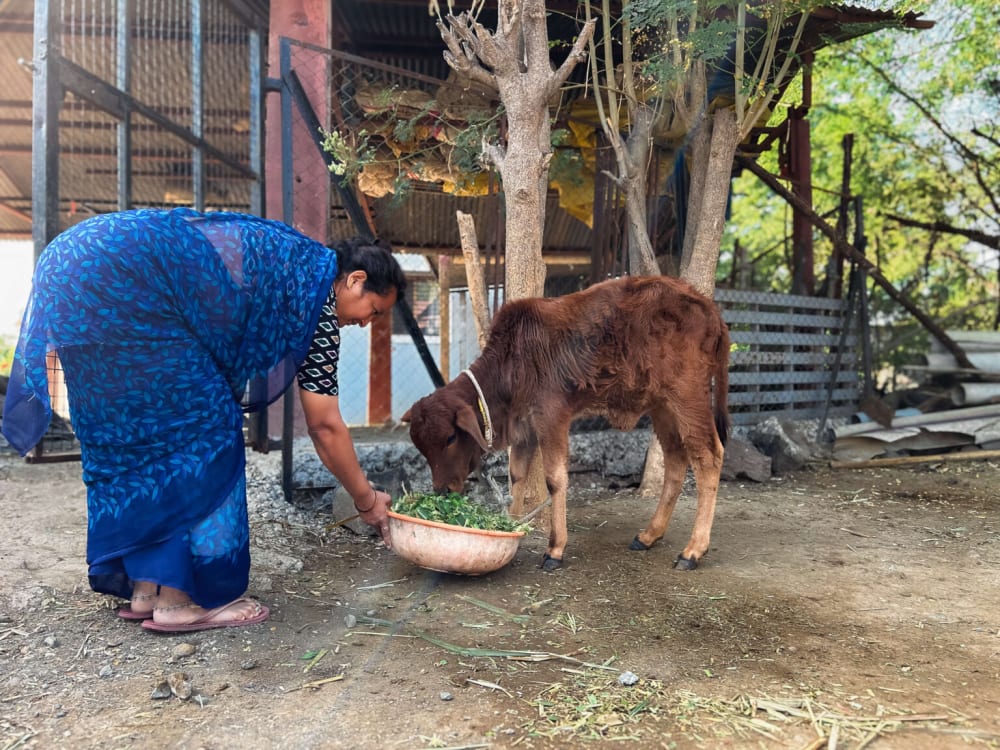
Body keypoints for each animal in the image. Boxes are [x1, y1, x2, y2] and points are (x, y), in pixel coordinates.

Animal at [402, 275, 729, 572]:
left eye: (450, 438)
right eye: (422, 447)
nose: (442, 489)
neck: (513, 360)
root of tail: (709, 308)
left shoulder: (551, 418)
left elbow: (555, 479)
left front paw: (555, 549)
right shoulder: (525, 428)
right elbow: (517, 476)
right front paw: (510, 525)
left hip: (687, 397)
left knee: (709, 457)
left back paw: (693, 550)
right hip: (662, 406)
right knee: (675, 460)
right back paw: (649, 535)